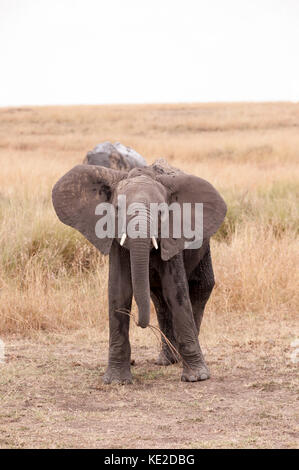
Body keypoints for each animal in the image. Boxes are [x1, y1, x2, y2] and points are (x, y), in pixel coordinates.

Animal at [51, 160, 226, 384]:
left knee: (200, 287)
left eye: (161, 212)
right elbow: (119, 289)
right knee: (159, 300)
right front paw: (116, 381)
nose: (139, 323)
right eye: (117, 209)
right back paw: (167, 360)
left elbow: (176, 291)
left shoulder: (172, 235)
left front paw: (197, 377)